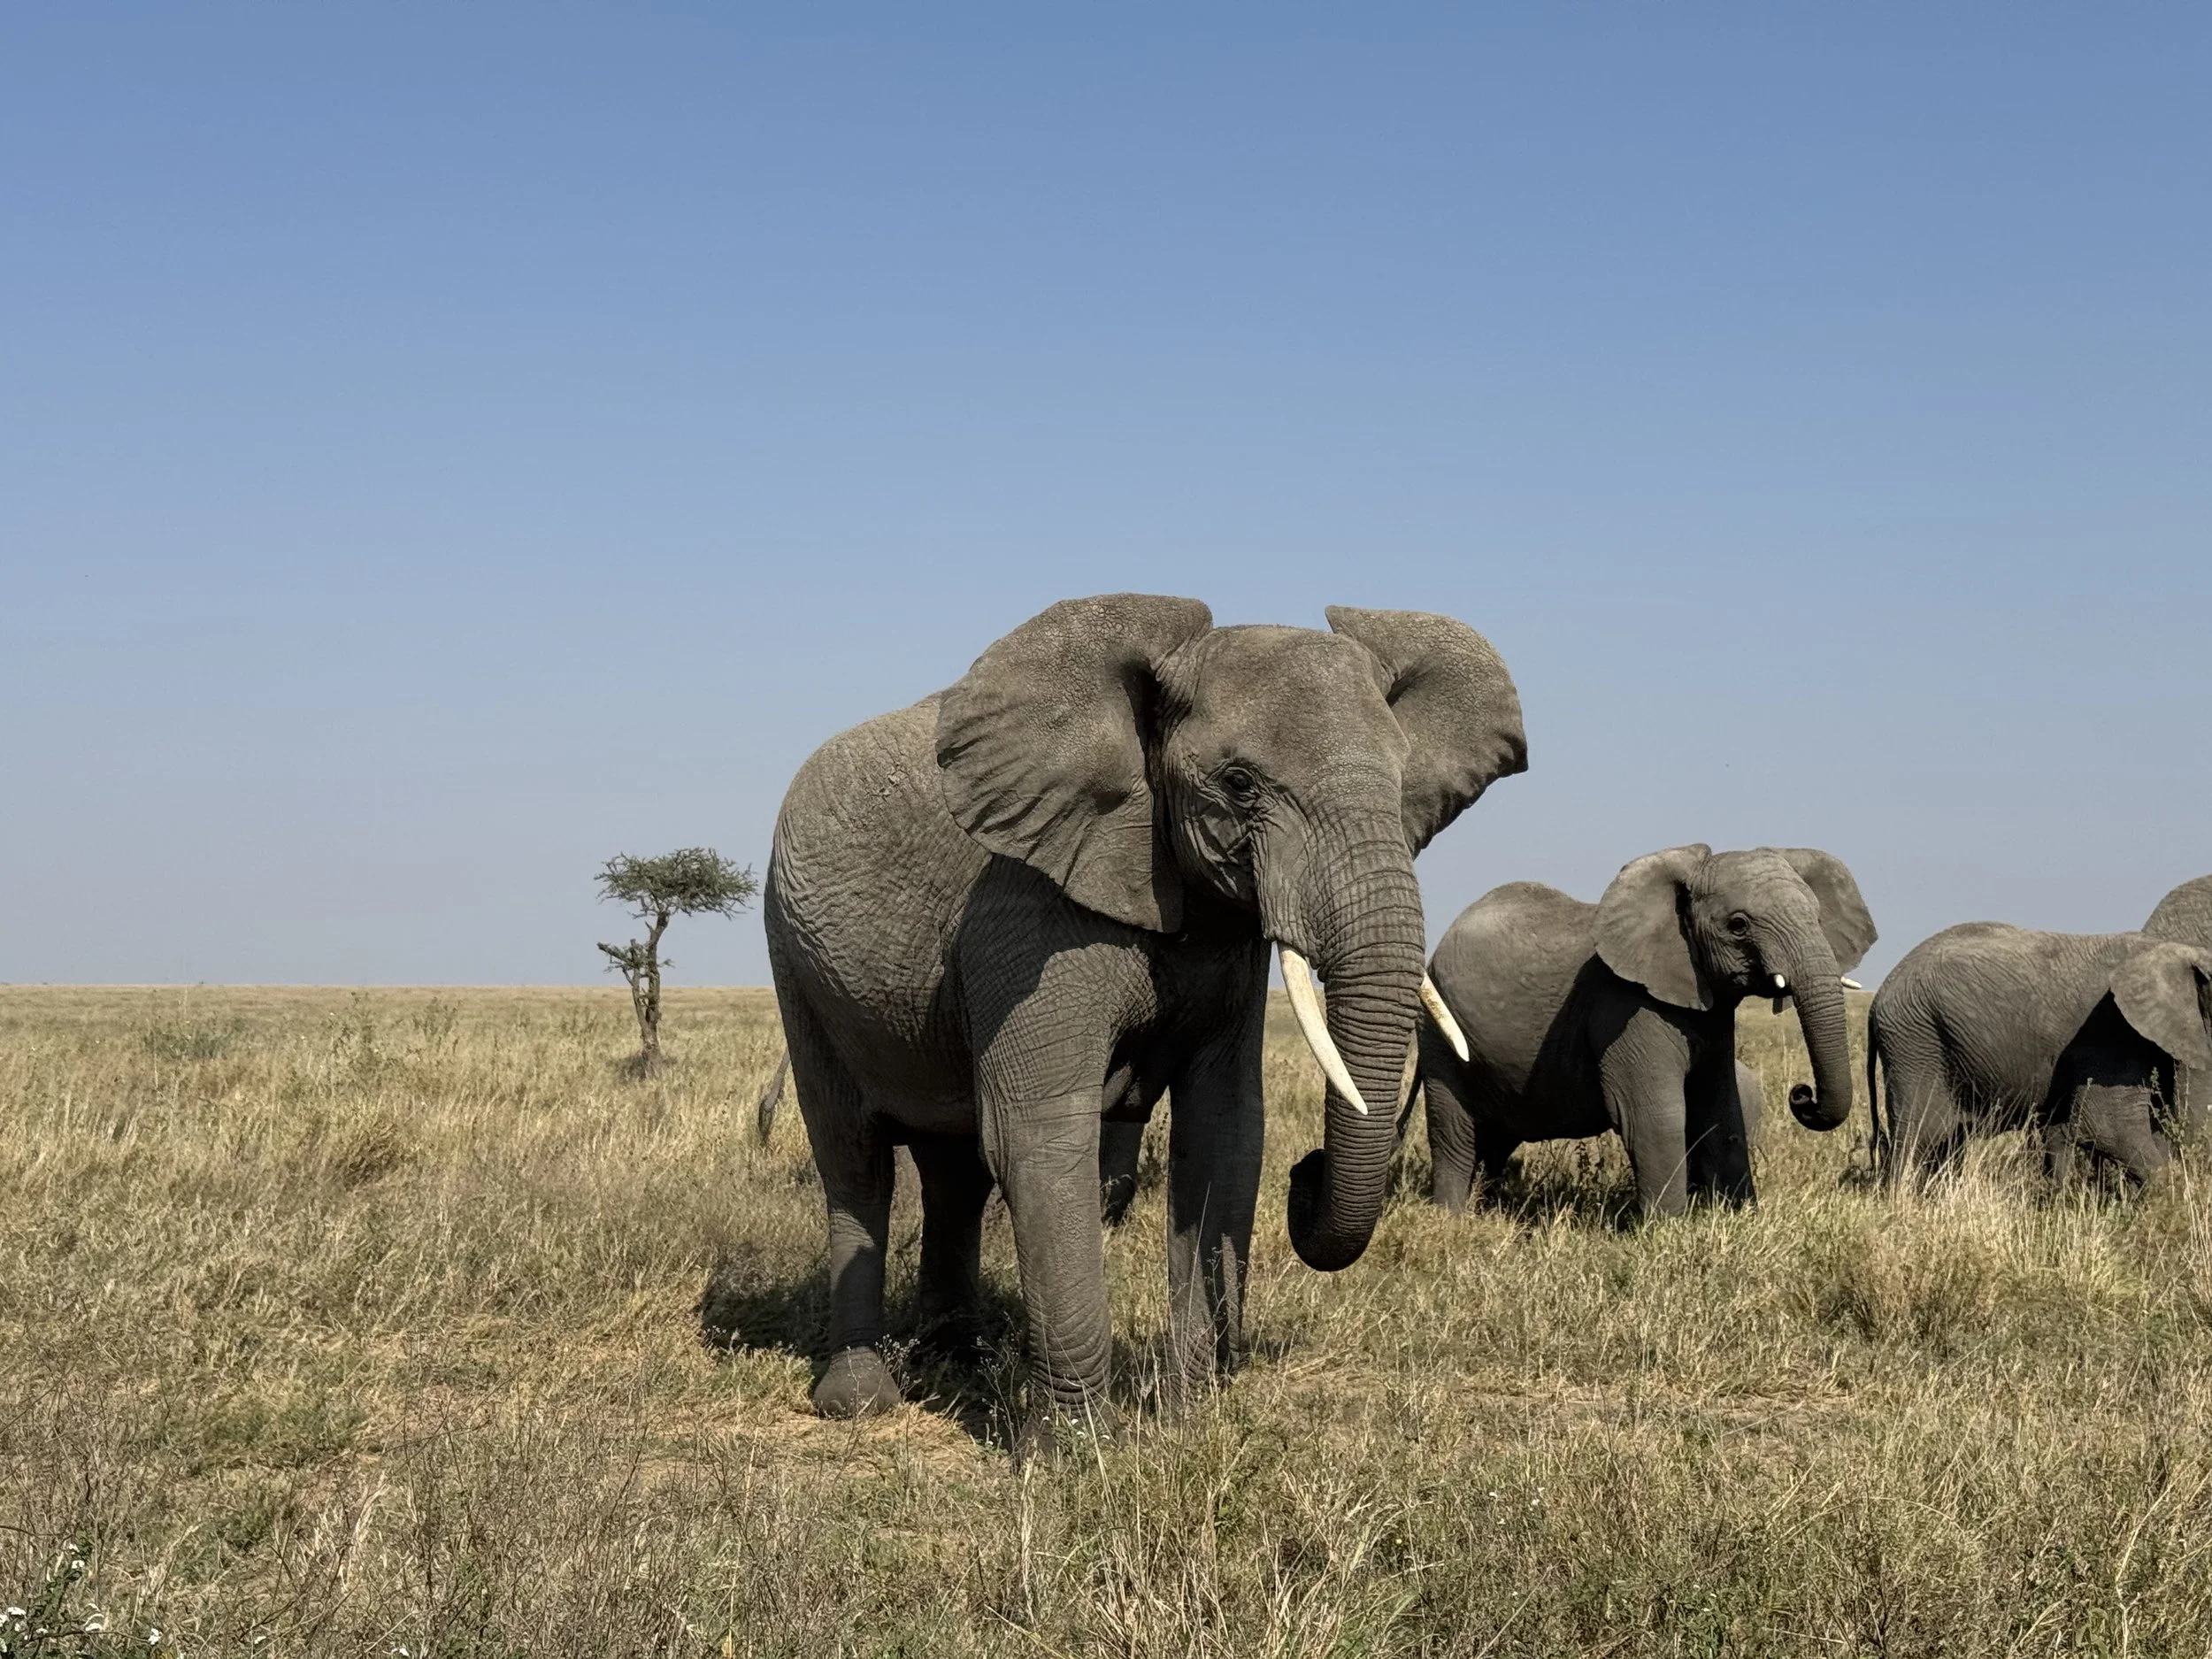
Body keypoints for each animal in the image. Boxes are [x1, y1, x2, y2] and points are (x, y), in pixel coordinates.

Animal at [764, 594, 1526, 1426]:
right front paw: (1078, 1442)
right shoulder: (1023, 910)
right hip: (795, 957)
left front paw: (1191, 1413)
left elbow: (1226, 1129)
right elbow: (1040, 1131)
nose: (1310, 1172)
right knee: (855, 1159)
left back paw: (959, 1354)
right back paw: (860, 1399)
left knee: (954, 1167)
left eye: (1401, 782)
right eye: (1239, 783)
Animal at [1413, 846, 1875, 1216]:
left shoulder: (1711, 1012)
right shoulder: (1625, 1008)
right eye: (1739, 925)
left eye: (1817, 917)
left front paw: (1741, 1218)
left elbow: (1721, 1111)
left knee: (1496, 1140)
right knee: (1455, 1133)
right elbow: (1656, 1118)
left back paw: (1488, 1210)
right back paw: (1453, 1220)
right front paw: (1667, 1231)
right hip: (1439, 1035)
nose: (1802, 1095)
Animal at [1867, 876, 2212, 1187]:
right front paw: (2169, 1198)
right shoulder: (2111, 1030)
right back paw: (1901, 1201)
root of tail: (1880, 995)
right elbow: (2106, 1126)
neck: (2173, 951)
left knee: (1947, 1143)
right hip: (1916, 1041)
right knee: (1920, 1136)